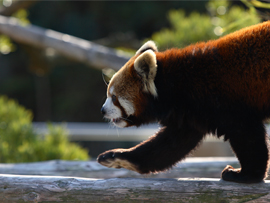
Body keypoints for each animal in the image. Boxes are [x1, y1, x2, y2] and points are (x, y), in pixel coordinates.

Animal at [98, 21, 270, 183]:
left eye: (114, 97)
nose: (102, 110)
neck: (177, 84)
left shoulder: (226, 102)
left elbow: (247, 135)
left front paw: (246, 174)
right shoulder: (190, 114)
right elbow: (169, 146)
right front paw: (118, 157)